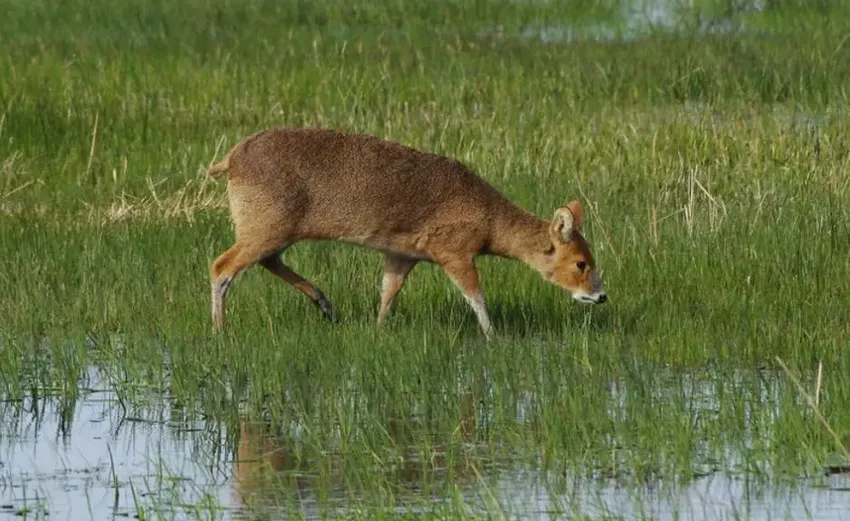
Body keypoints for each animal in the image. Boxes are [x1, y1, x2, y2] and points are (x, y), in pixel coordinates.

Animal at [205, 125, 604, 338]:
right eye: (581, 263)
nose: (600, 296)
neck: (489, 219)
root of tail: (231, 159)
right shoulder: (455, 254)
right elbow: (476, 296)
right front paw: (494, 337)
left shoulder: (401, 256)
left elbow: (388, 295)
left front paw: (378, 330)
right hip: (264, 229)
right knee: (221, 267)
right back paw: (220, 330)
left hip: (274, 232)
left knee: (267, 262)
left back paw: (325, 303)